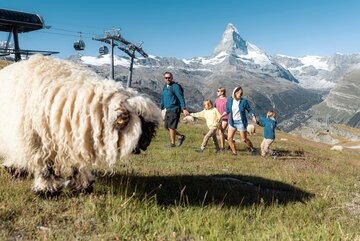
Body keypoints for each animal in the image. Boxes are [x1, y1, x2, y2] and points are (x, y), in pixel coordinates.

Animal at [0, 54, 160, 196]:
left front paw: (83, 187)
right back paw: (15, 169)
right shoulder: (38, 141)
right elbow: (44, 166)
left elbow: (78, 164)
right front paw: (47, 190)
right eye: (142, 122)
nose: (146, 144)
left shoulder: (74, 136)